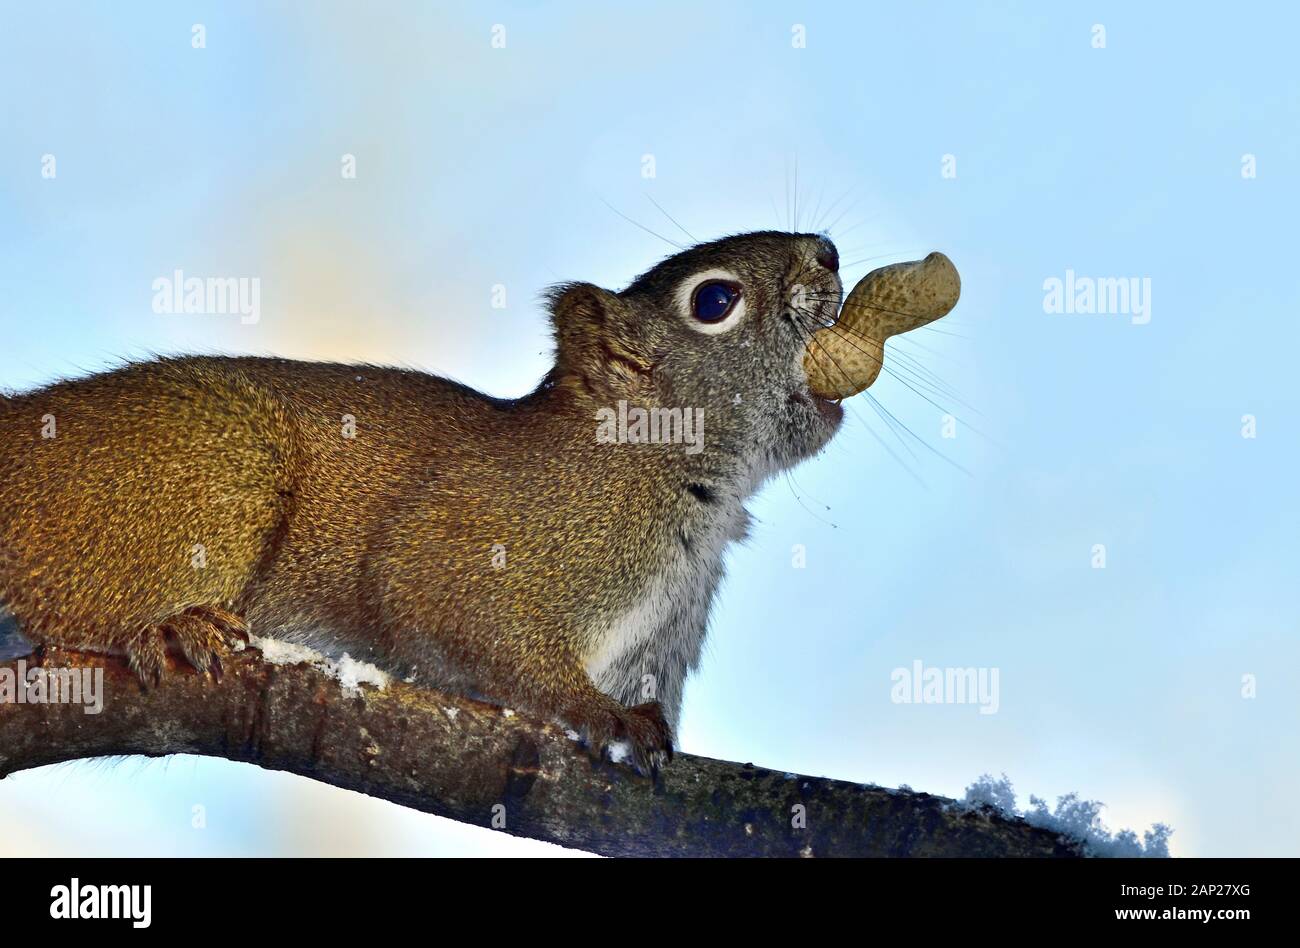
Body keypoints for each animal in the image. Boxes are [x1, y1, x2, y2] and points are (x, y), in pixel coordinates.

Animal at [0, 232, 847, 775]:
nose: (828, 253)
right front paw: (587, 710)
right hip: (216, 461)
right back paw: (168, 626)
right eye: (715, 299)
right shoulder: (490, 542)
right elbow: (443, 605)